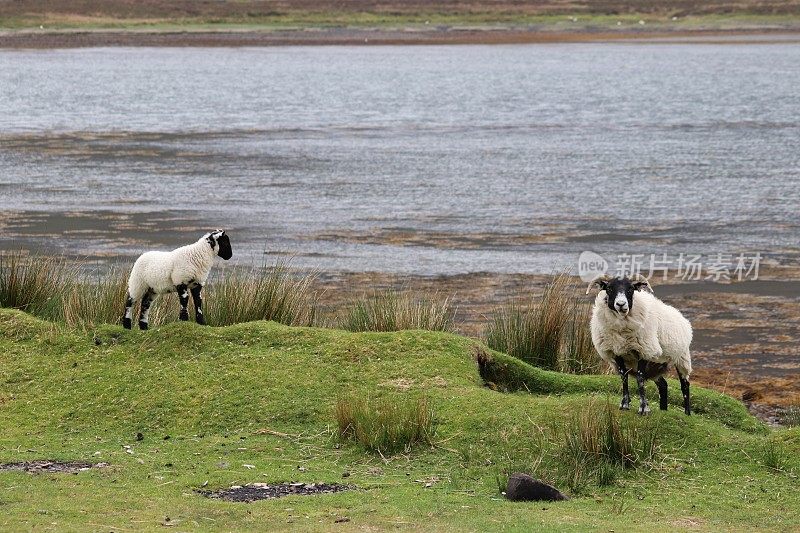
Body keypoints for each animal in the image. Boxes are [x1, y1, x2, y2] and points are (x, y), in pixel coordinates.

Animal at [588, 274, 692, 416]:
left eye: (631, 289)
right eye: (609, 288)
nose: (621, 304)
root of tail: (682, 317)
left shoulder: (644, 351)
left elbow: (640, 378)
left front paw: (643, 408)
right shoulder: (617, 352)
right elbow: (624, 377)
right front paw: (625, 404)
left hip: (682, 358)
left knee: (685, 385)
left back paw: (687, 413)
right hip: (655, 365)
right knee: (663, 385)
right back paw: (663, 410)